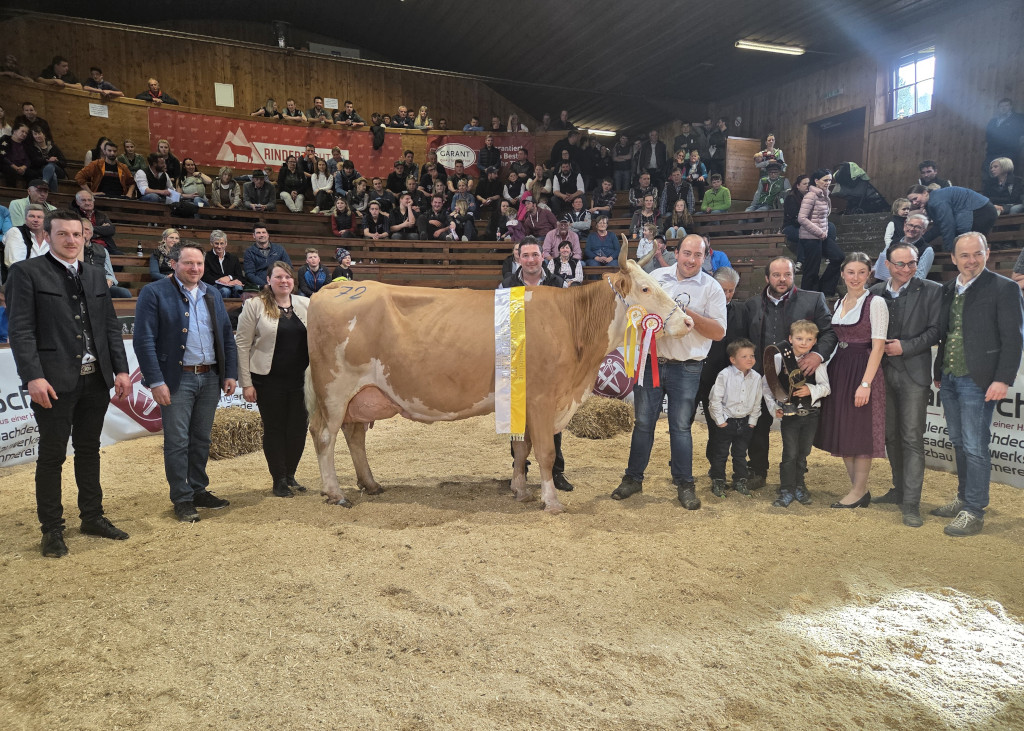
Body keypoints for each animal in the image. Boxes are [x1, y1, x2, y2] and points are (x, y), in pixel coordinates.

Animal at [304, 241, 693, 513]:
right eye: (645, 289)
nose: (688, 322)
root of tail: (332, 289)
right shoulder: (541, 397)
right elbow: (546, 452)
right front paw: (551, 501)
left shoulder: (523, 400)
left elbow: (522, 449)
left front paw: (519, 490)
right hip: (334, 390)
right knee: (324, 435)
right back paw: (335, 493)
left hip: (362, 395)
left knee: (354, 436)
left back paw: (370, 484)